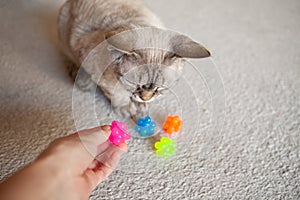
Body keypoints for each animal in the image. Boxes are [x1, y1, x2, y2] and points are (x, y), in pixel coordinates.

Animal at [57, 0, 210, 119]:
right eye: (136, 84)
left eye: (159, 88)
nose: (145, 98)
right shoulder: (94, 66)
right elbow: (117, 93)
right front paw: (125, 106)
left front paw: (141, 104)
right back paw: (81, 77)